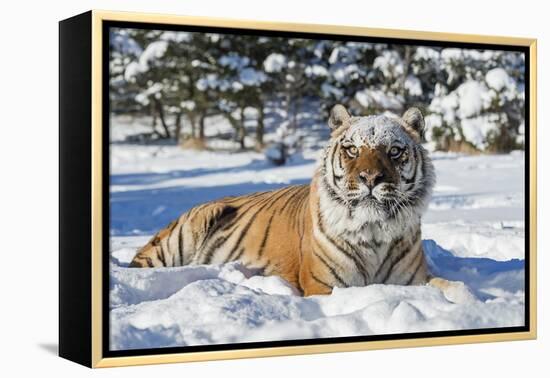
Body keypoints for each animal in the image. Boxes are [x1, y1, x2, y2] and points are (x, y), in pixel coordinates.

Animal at [129, 105, 452, 296]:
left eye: (394, 151)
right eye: (352, 149)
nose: (370, 178)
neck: (373, 232)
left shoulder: (413, 281)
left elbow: (454, 288)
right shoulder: (324, 285)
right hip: (180, 237)